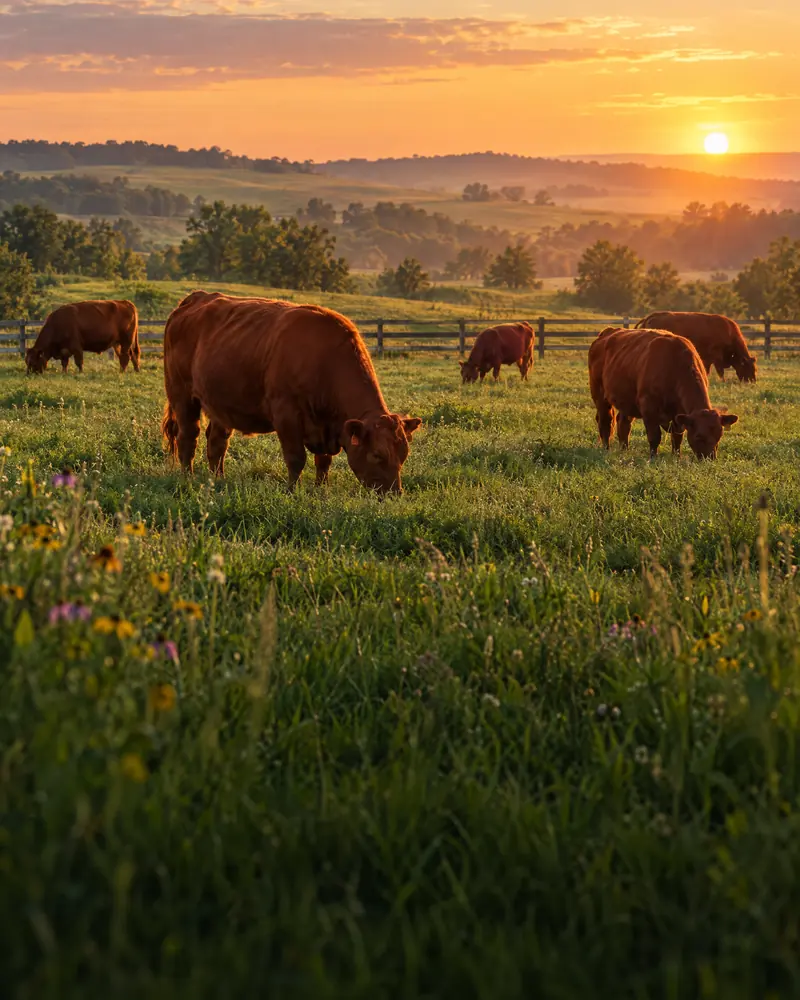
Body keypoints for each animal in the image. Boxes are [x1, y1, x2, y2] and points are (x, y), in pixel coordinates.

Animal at [160, 291, 422, 495]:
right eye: (377, 454)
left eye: (404, 454)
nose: (394, 493)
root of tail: (194, 299)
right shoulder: (286, 415)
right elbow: (296, 458)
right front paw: (291, 491)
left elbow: (323, 461)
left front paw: (321, 489)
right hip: (181, 395)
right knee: (187, 437)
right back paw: (187, 477)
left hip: (220, 403)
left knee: (216, 443)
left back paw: (218, 480)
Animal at [588, 327, 739, 459]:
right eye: (698, 436)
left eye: (719, 435)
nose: (709, 458)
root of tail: (607, 332)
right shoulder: (648, 408)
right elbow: (654, 436)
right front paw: (653, 458)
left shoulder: (678, 416)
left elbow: (677, 437)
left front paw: (676, 456)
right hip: (599, 395)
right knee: (605, 422)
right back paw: (606, 449)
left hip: (626, 401)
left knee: (623, 424)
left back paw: (624, 450)